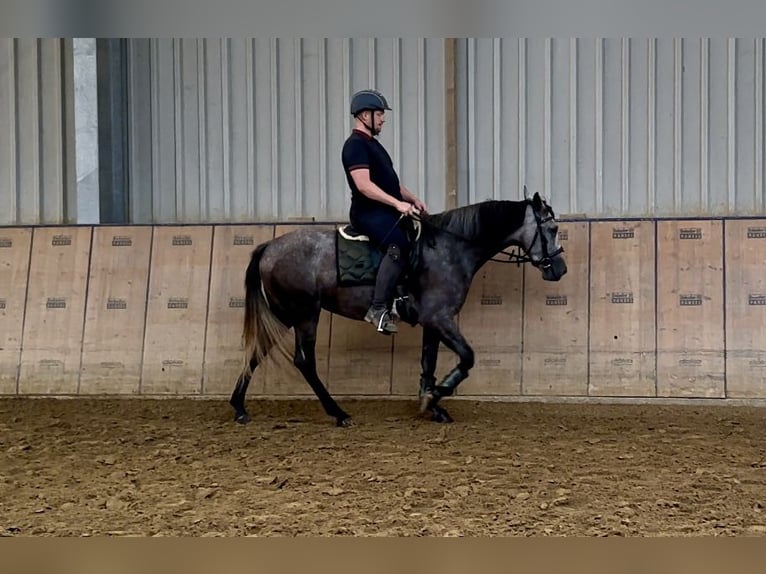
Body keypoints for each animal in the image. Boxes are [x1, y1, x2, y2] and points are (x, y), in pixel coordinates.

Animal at [231, 189, 568, 428]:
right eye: (551, 228)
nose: (560, 269)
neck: (450, 248)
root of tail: (269, 248)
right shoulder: (440, 317)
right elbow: (467, 357)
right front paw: (437, 395)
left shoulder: (433, 321)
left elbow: (428, 362)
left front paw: (432, 404)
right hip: (305, 314)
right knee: (304, 361)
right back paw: (338, 413)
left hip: (285, 315)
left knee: (258, 350)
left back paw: (239, 408)